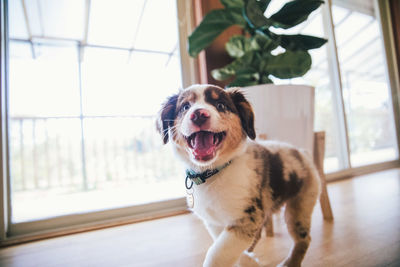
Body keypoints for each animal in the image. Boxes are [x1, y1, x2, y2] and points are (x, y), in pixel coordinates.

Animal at [158, 84, 320, 267]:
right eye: (185, 107)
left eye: (220, 105)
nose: (198, 114)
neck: (213, 174)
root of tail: (303, 152)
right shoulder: (216, 222)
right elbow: (228, 249)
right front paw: (249, 261)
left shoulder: (247, 218)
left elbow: (216, 254)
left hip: (300, 206)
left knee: (304, 240)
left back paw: (290, 263)